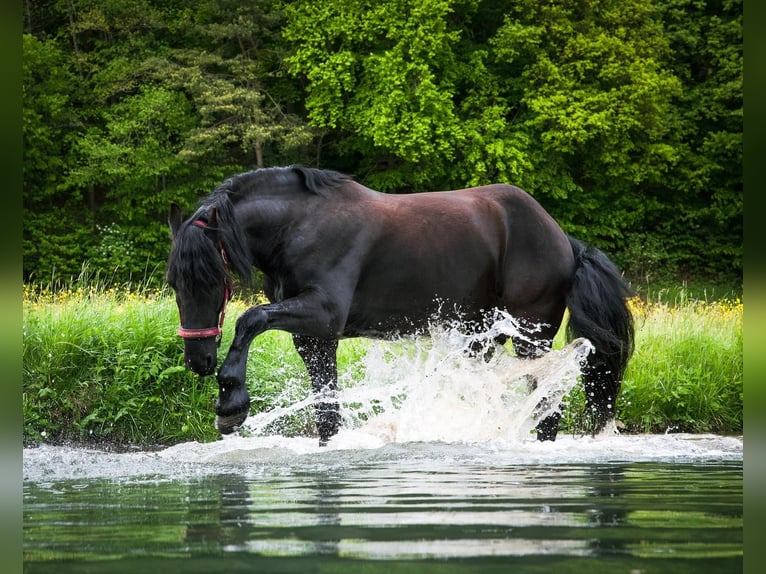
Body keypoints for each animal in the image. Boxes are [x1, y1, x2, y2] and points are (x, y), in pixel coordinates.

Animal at [168, 165, 636, 446]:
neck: (301, 227)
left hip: (531, 337)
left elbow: (250, 319)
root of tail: (563, 240)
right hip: (481, 338)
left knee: (548, 405)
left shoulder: (322, 314)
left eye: (214, 280)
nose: (199, 359)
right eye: (174, 283)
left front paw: (231, 402)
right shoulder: (315, 338)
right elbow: (327, 411)